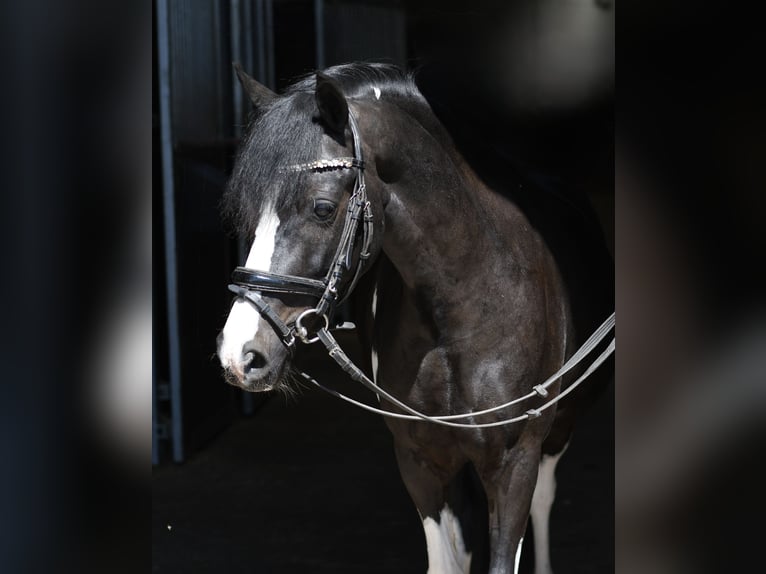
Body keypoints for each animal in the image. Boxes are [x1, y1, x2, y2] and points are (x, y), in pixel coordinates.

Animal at [217, 63, 614, 574]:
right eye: (250, 213)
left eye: (322, 209)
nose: (240, 355)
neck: (463, 311)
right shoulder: (419, 461)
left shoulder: (515, 464)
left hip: (556, 434)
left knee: (546, 498)